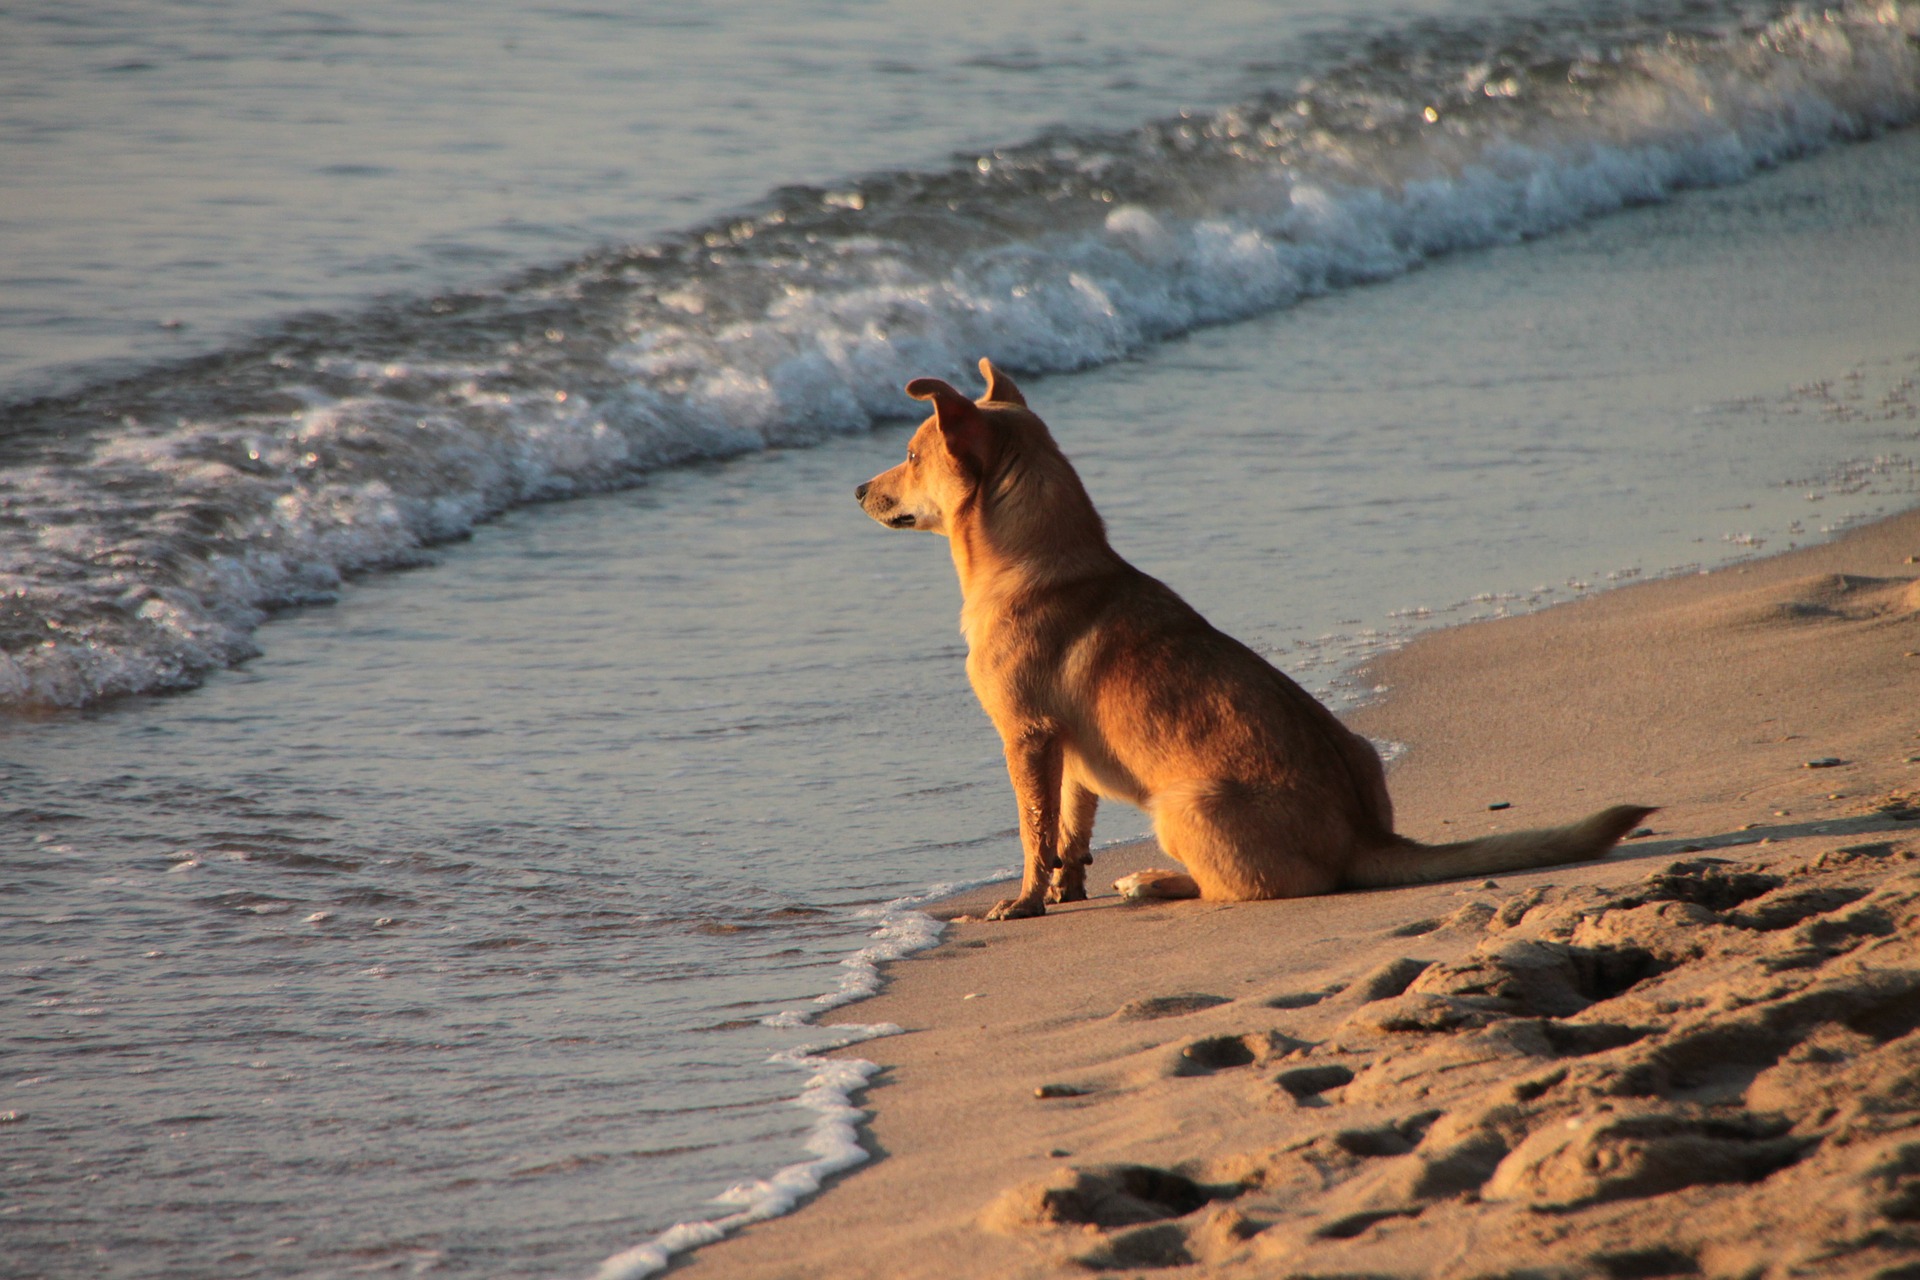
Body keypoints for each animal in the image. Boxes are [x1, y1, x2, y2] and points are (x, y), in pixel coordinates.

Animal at [856, 360, 1651, 921]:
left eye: (912, 455)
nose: (859, 490)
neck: (1037, 559)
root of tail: (1364, 837)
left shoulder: (1024, 738)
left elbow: (1032, 833)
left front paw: (1022, 902)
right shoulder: (1066, 753)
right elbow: (1070, 832)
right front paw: (1062, 891)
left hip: (1180, 805)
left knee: (1232, 890)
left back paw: (1153, 881)